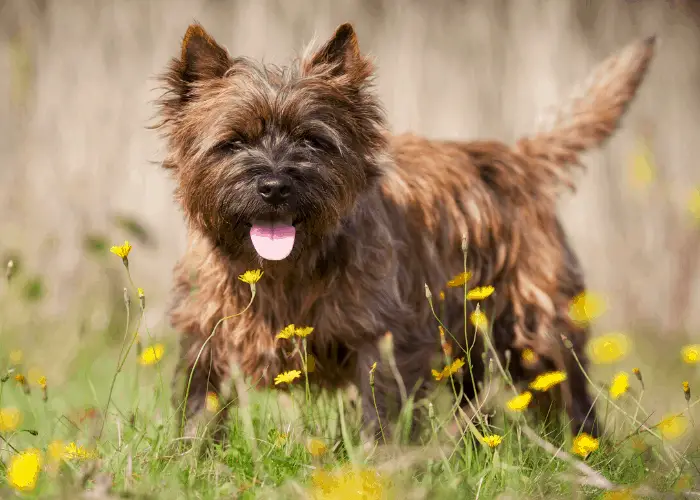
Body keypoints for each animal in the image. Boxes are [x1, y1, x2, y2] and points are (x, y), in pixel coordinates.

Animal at [153, 20, 656, 442]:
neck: (282, 270)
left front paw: (377, 465)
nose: (275, 185)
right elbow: (199, 403)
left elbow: (381, 412)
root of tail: (518, 158)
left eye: (312, 141)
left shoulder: (383, 337)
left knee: (568, 390)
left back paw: (584, 449)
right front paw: (192, 456)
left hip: (536, 324)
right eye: (233, 142)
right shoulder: (205, 330)